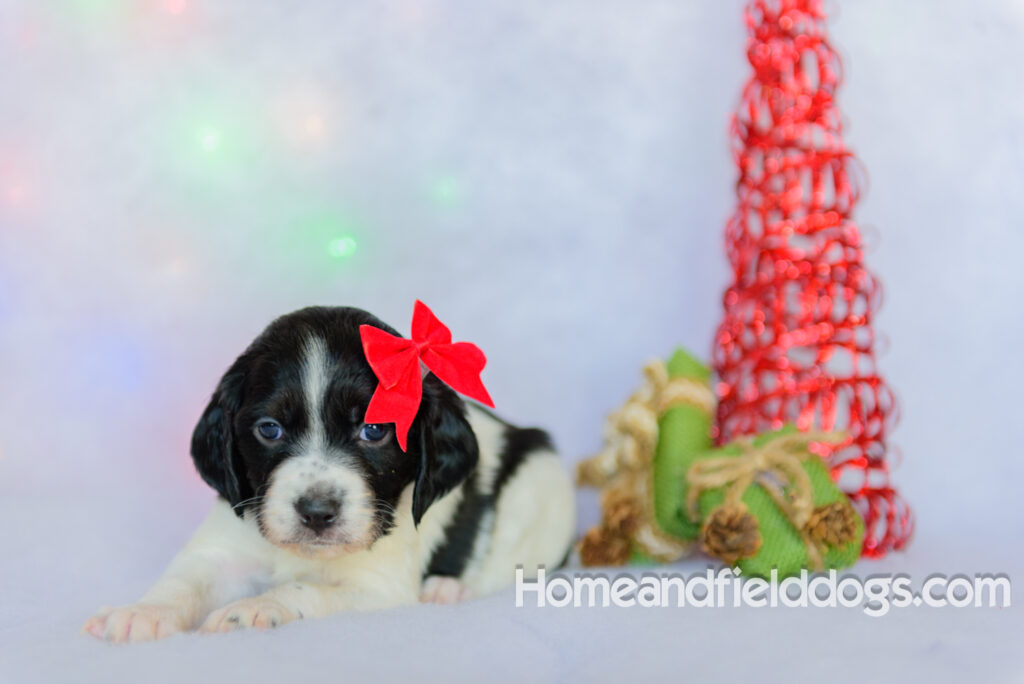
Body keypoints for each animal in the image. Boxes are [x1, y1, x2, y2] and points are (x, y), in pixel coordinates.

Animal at [83, 307, 577, 643]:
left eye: (374, 430)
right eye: (270, 429)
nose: (317, 512)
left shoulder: (377, 588)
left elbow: (305, 590)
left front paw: (254, 608)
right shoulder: (224, 540)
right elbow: (184, 579)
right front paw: (142, 612)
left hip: (540, 490)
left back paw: (448, 589)